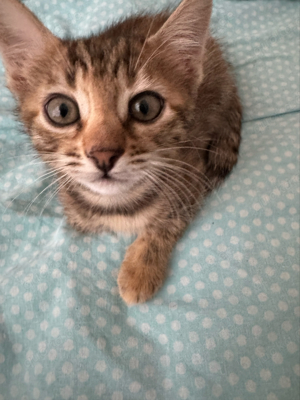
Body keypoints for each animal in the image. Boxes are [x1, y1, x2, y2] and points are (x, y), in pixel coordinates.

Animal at [0, 0, 241, 304]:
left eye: (145, 107)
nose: (103, 155)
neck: (117, 204)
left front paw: (140, 269)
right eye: (62, 110)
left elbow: (171, 217)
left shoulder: (191, 168)